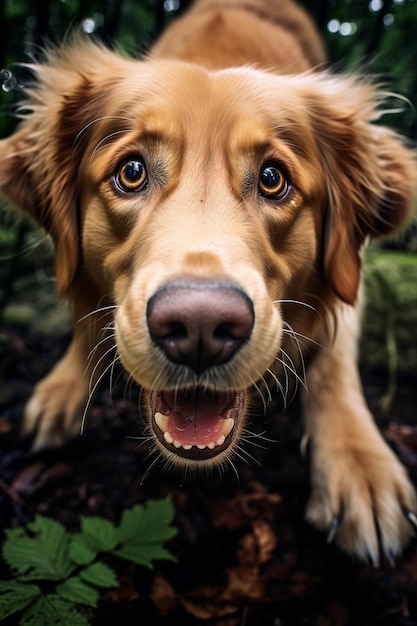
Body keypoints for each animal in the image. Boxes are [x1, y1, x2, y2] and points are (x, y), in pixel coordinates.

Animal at [0, 0, 416, 564]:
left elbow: (334, 360)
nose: (199, 326)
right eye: (131, 172)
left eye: (273, 179)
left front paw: (360, 467)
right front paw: (64, 386)